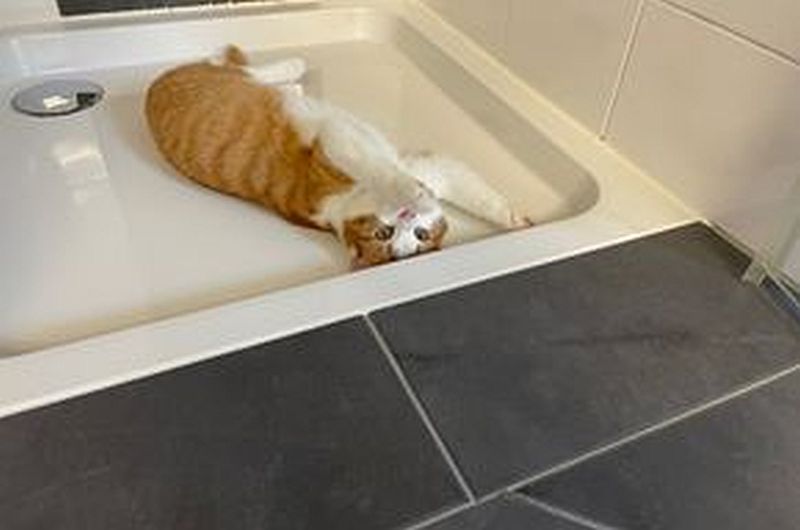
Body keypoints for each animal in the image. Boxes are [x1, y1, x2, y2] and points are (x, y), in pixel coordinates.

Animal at [145, 46, 530, 268]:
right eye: (384, 234)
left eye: (420, 235)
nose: (408, 214)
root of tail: (151, 90)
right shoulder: (336, 146)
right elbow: (385, 171)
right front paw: (413, 191)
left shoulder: (433, 169)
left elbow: (479, 195)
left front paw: (517, 221)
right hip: (225, 78)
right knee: (238, 67)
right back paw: (292, 69)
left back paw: (292, 84)